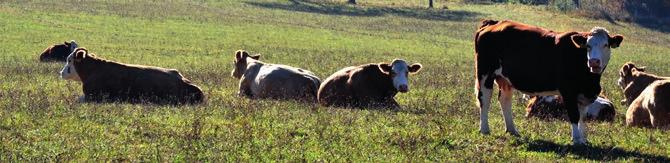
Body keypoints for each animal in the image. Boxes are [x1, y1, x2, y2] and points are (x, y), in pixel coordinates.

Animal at [476, 19, 628, 145]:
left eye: (606, 45)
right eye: (588, 46)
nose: (594, 62)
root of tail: (494, 23)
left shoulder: (583, 95)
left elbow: (582, 117)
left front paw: (582, 139)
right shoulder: (568, 92)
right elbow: (574, 115)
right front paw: (576, 140)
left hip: (505, 79)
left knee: (505, 101)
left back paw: (512, 130)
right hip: (485, 74)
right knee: (485, 100)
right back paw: (484, 129)